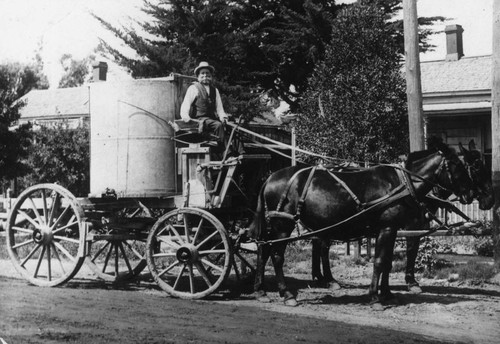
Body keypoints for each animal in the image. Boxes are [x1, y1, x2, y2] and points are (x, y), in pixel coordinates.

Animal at [250, 138, 476, 306]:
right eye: (457, 165)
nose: (470, 193)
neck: (401, 183)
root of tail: (269, 179)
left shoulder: (392, 229)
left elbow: (387, 261)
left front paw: (387, 293)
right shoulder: (386, 228)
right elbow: (380, 261)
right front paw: (375, 297)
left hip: (274, 226)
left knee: (264, 250)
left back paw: (261, 290)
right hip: (282, 225)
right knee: (277, 256)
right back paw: (287, 294)